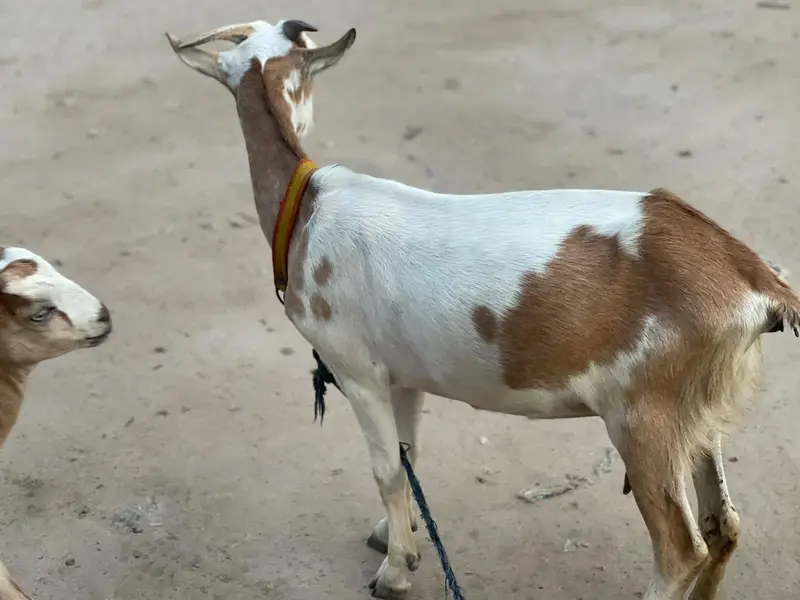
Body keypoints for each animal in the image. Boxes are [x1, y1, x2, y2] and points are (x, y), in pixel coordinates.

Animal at [166, 19, 800, 600]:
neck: (306, 210)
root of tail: (753, 276)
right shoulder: (404, 376)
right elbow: (409, 454)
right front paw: (396, 539)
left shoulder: (356, 371)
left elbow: (387, 470)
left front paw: (394, 573)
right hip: (698, 412)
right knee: (724, 526)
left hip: (645, 417)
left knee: (680, 548)